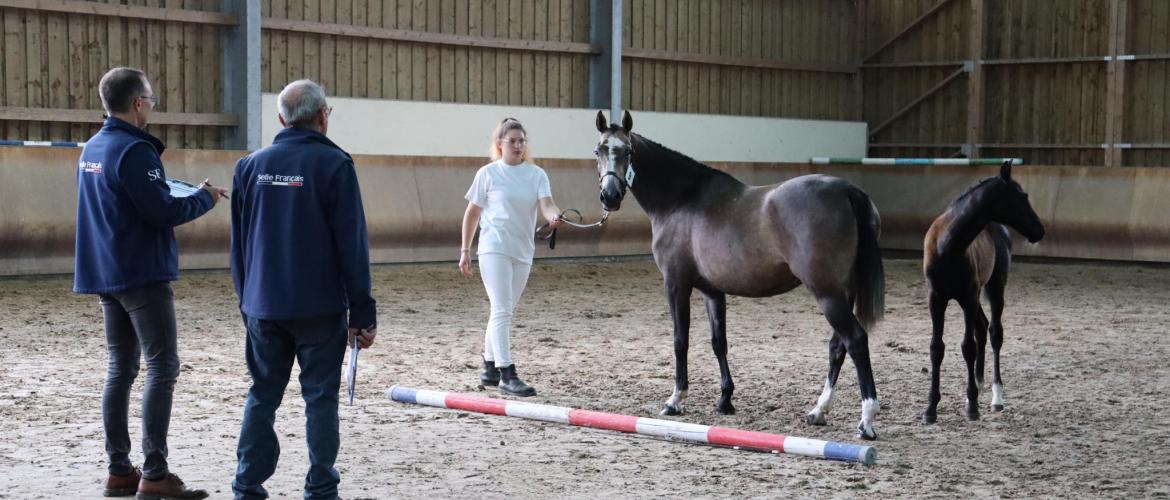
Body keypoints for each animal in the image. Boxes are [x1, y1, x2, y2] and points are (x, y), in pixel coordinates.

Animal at [594, 110, 884, 437]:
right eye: (599, 150)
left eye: (628, 152)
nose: (610, 196)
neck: (681, 199)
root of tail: (848, 191)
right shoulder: (712, 290)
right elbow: (719, 342)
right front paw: (725, 400)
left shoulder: (676, 284)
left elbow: (680, 340)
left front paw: (675, 400)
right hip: (843, 293)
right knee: (838, 347)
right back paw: (819, 411)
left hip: (827, 293)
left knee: (856, 340)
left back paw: (866, 420)